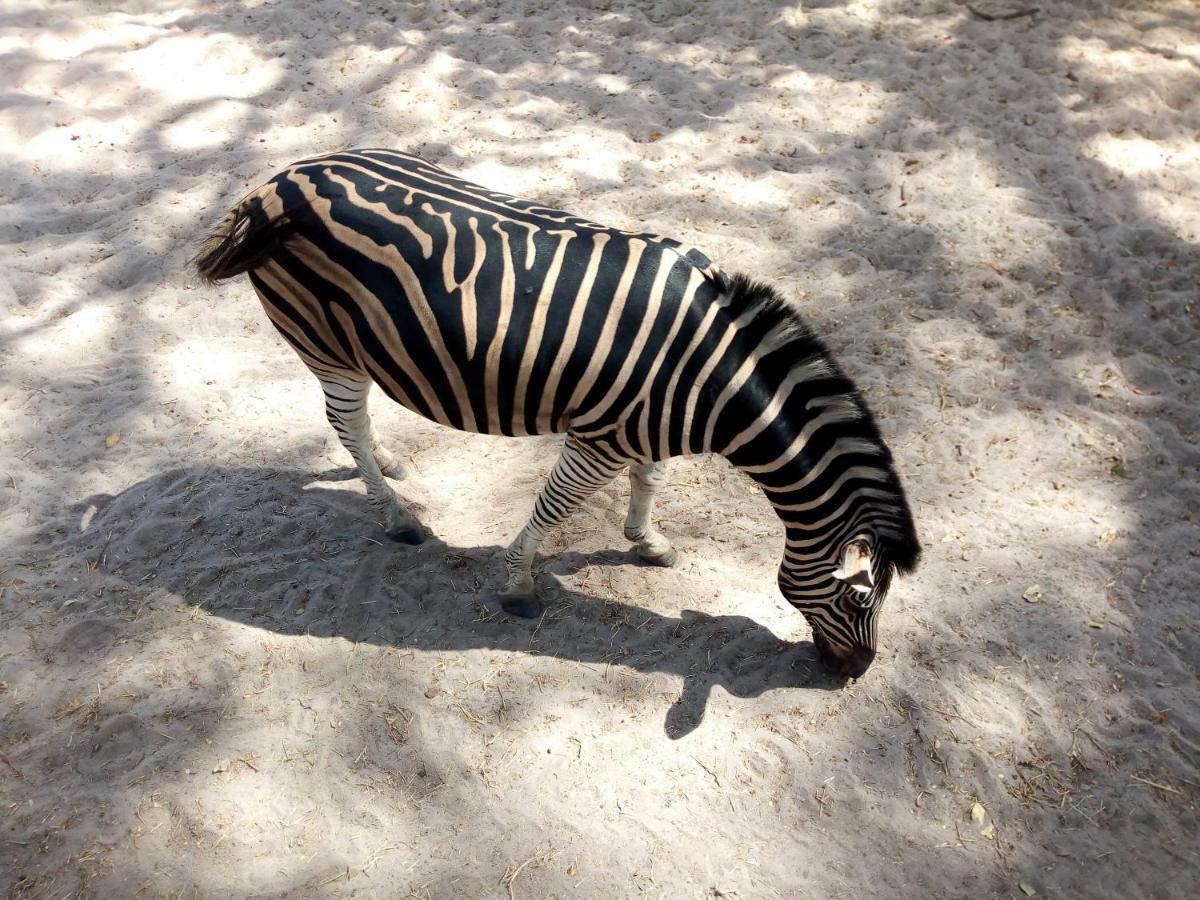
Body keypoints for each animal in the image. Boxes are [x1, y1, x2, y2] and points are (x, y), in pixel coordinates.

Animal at [196, 148, 916, 676]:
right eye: (860, 595)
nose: (858, 672)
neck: (716, 378)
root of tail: (279, 181)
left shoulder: (641, 434)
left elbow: (650, 480)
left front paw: (647, 541)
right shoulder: (600, 439)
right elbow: (553, 508)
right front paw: (519, 584)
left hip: (355, 346)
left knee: (358, 426)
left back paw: (391, 464)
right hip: (325, 343)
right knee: (345, 421)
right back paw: (397, 517)